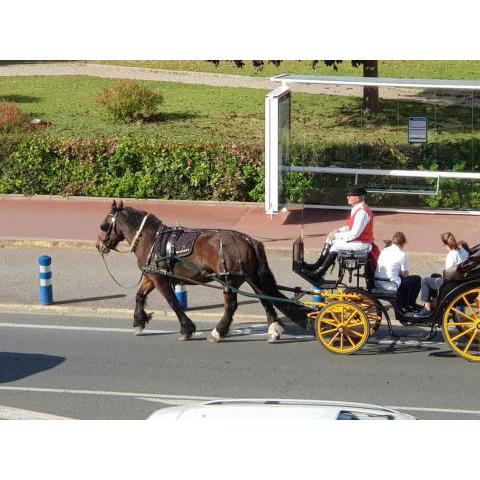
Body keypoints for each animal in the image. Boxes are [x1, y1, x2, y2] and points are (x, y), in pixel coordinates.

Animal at [96, 201, 308, 344]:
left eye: (104, 225)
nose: (99, 245)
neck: (151, 239)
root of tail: (249, 240)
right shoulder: (153, 275)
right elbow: (140, 296)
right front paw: (139, 321)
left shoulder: (159, 278)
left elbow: (173, 303)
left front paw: (186, 329)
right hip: (251, 277)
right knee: (265, 298)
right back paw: (273, 329)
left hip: (230, 280)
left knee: (232, 306)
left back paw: (218, 332)